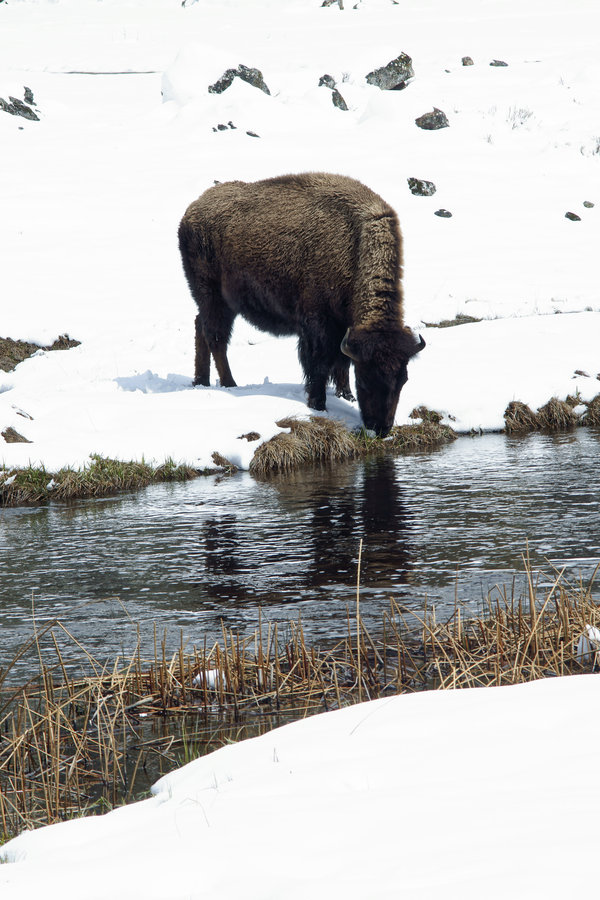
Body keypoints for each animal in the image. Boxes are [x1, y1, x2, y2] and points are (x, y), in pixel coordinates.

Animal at [176, 173, 424, 436]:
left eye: (403, 379)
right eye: (365, 378)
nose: (381, 428)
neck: (353, 246)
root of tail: (191, 211)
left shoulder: (344, 329)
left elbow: (342, 363)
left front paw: (346, 396)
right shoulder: (318, 325)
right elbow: (319, 365)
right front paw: (318, 405)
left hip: (218, 303)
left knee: (201, 327)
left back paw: (201, 381)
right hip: (214, 298)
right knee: (216, 338)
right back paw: (230, 384)